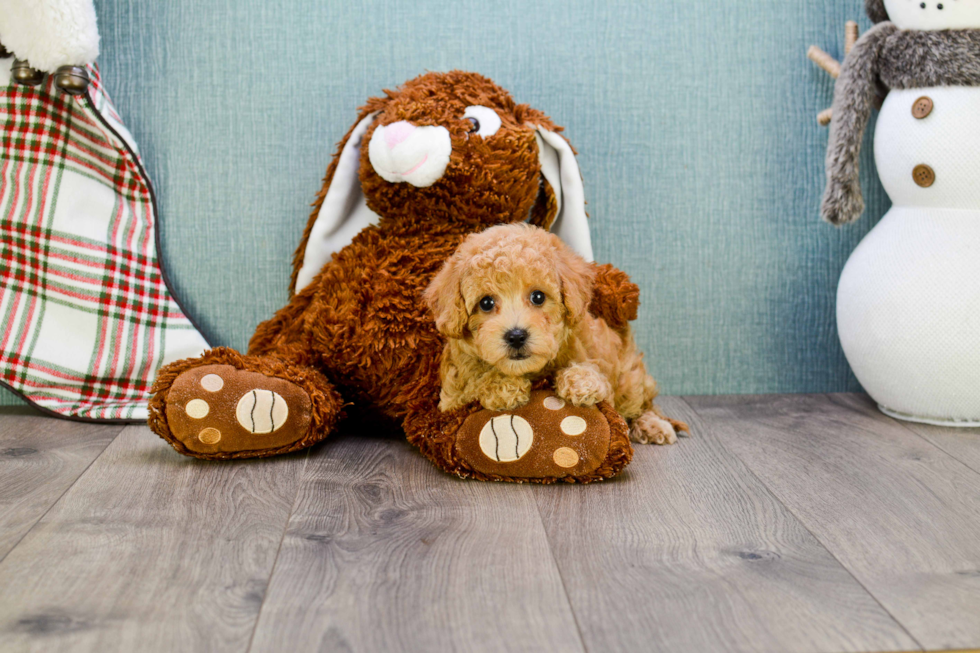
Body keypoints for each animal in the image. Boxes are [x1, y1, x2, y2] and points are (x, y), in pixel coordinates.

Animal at [424, 223, 688, 444]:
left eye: (538, 297)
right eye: (486, 303)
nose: (516, 335)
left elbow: (594, 374)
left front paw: (581, 382)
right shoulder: (450, 399)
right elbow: (472, 382)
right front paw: (501, 386)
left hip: (630, 380)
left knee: (643, 404)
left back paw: (653, 426)